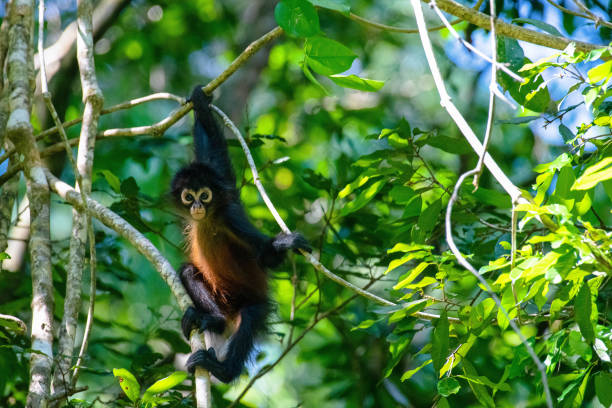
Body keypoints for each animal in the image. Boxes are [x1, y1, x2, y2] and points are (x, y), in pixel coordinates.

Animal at [170, 85, 308, 382]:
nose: (197, 206)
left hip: (251, 302)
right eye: (188, 196)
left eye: (204, 195)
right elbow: (213, 156)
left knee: (251, 317)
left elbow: (267, 258)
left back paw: (223, 370)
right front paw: (200, 104)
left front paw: (287, 243)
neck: (210, 219)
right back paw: (213, 320)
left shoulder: (231, 215)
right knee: (187, 271)